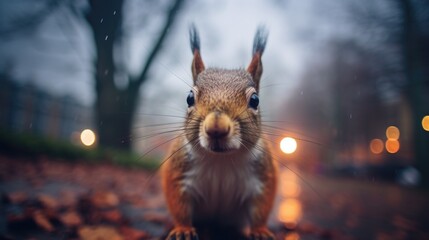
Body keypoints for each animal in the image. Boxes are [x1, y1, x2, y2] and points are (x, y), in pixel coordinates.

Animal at [161, 25, 278, 240]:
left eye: (255, 100)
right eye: (189, 98)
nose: (216, 127)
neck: (220, 160)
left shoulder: (262, 178)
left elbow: (261, 207)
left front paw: (260, 231)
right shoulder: (178, 173)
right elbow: (179, 204)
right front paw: (183, 229)